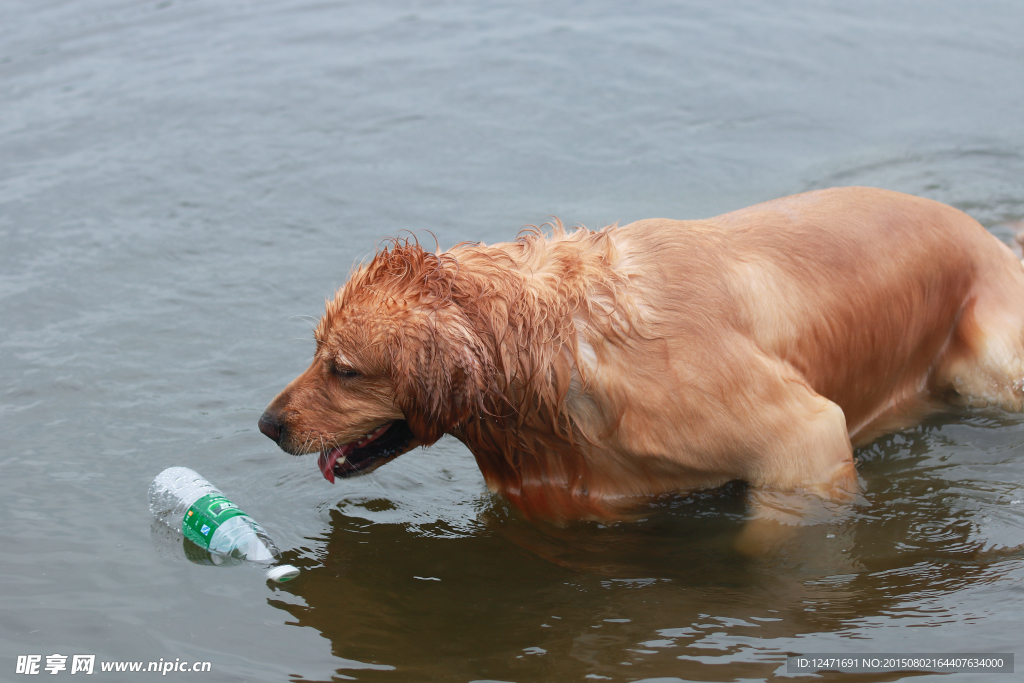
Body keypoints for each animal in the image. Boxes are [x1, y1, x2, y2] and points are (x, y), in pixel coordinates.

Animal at [258, 187, 1024, 524]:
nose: (267, 425)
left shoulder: (803, 440)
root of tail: (991, 240)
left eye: (344, 369)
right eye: (315, 350)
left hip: (994, 362)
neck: (558, 349)